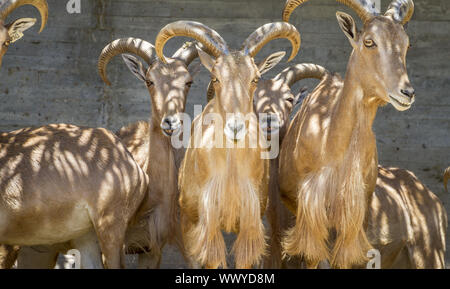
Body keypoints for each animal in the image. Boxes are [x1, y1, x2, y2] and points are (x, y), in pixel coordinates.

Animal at [280, 0, 416, 268]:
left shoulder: (356, 213)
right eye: (369, 41)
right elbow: (315, 257)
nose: (407, 92)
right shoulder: (310, 213)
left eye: (406, 44)